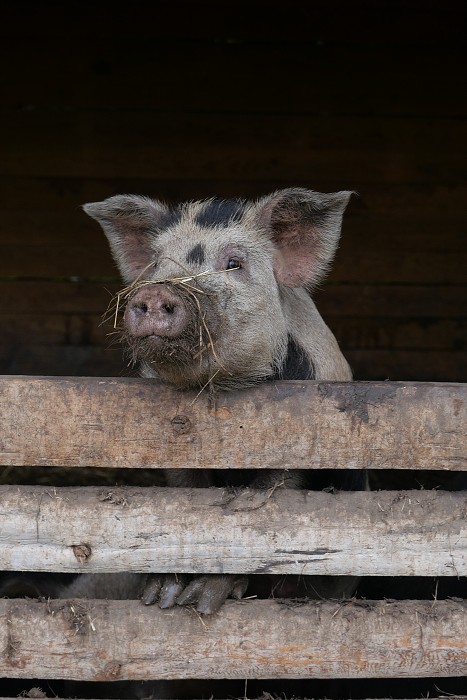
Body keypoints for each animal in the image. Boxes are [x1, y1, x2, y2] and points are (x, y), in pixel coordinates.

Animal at [62, 187, 364, 612]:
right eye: (157, 264)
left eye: (234, 263)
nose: (157, 290)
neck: (221, 392)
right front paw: (161, 598)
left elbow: (258, 518)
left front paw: (200, 602)